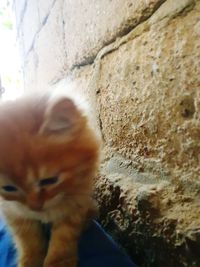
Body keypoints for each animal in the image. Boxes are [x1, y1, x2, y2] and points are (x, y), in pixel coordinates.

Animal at [0, 94, 99, 267]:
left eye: (49, 180)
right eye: (8, 188)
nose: (35, 207)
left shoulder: (76, 204)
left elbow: (64, 240)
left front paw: (59, 262)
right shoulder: (13, 212)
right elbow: (28, 240)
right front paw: (31, 261)